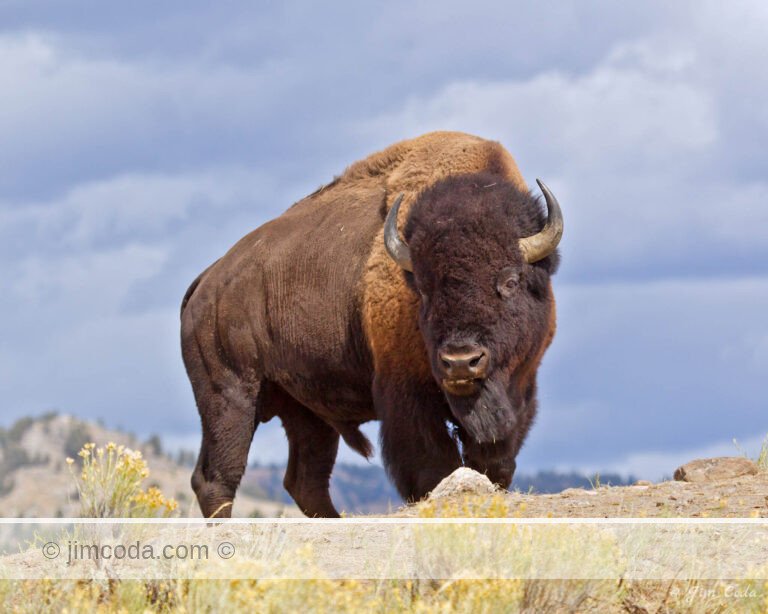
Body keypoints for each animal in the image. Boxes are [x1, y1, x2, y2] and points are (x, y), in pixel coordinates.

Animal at [180, 131, 563, 518]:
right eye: (423, 288)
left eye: (510, 281)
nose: (460, 361)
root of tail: (207, 281)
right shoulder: (406, 397)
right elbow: (433, 468)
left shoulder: (519, 393)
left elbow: (495, 463)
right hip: (230, 397)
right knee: (217, 477)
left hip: (306, 412)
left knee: (305, 480)